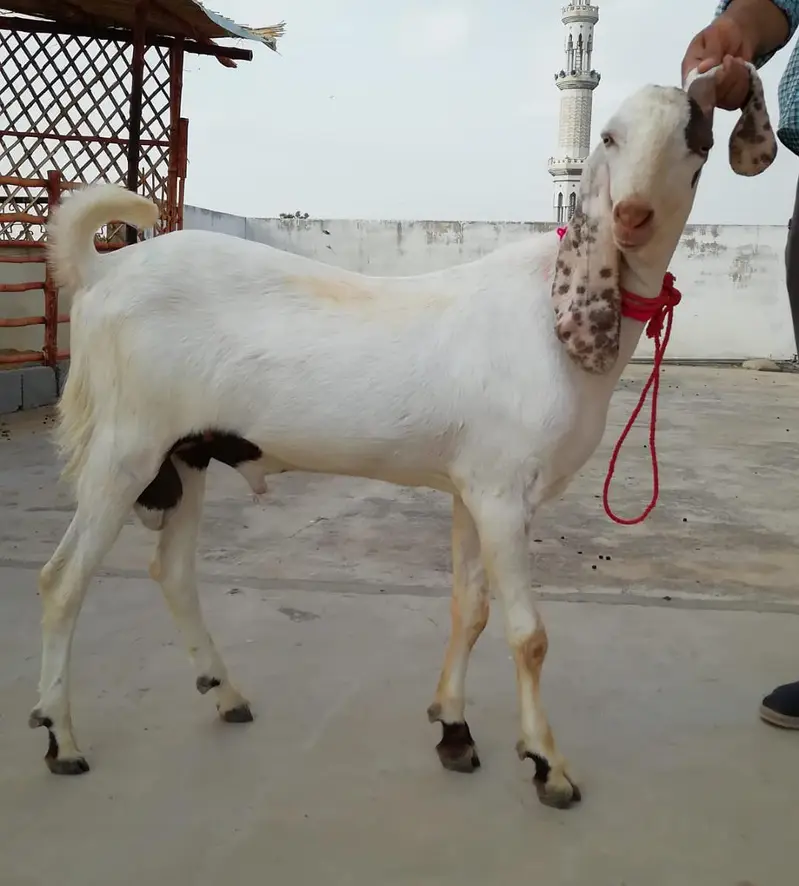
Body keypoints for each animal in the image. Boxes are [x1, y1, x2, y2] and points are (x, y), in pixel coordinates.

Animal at [30, 65, 774, 808]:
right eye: (611, 137)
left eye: (697, 141)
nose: (631, 217)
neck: (553, 315)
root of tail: (102, 271)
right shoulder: (503, 493)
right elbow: (528, 634)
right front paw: (547, 765)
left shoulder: (472, 488)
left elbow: (469, 610)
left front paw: (453, 730)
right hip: (126, 445)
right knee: (62, 580)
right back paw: (62, 740)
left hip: (186, 453)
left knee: (173, 573)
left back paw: (226, 694)